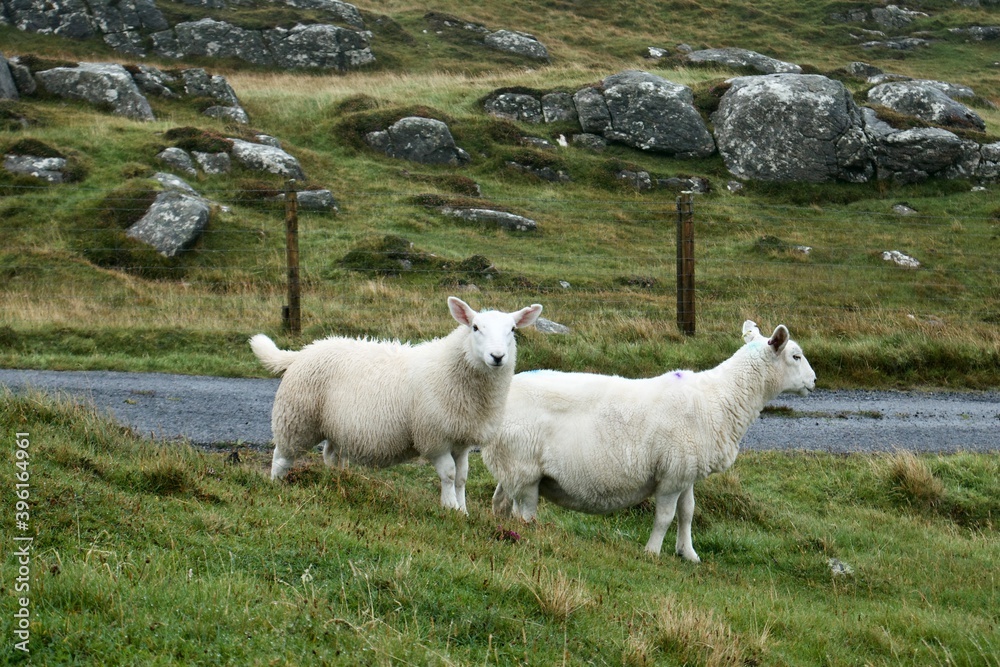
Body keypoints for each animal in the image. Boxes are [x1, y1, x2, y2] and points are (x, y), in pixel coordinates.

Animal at [249, 297, 542, 513]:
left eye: (512, 330)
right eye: (475, 328)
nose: (498, 356)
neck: (451, 368)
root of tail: (304, 351)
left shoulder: (461, 440)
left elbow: (461, 477)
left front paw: (463, 510)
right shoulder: (434, 437)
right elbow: (448, 475)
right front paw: (449, 508)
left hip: (336, 426)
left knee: (331, 455)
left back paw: (339, 480)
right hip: (297, 417)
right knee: (282, 455)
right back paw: (276, 483)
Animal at [482, 320, 815, 561]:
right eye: (795, 356)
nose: (814, 381)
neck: (719, 398)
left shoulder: (686, 471)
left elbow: (688, 513)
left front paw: (688, 554)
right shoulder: (671, 474)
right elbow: (665, 517)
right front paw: (652, 552)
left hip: (511, 465)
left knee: (500, 502)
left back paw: (502, 529)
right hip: (524, 469)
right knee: (524, 512)